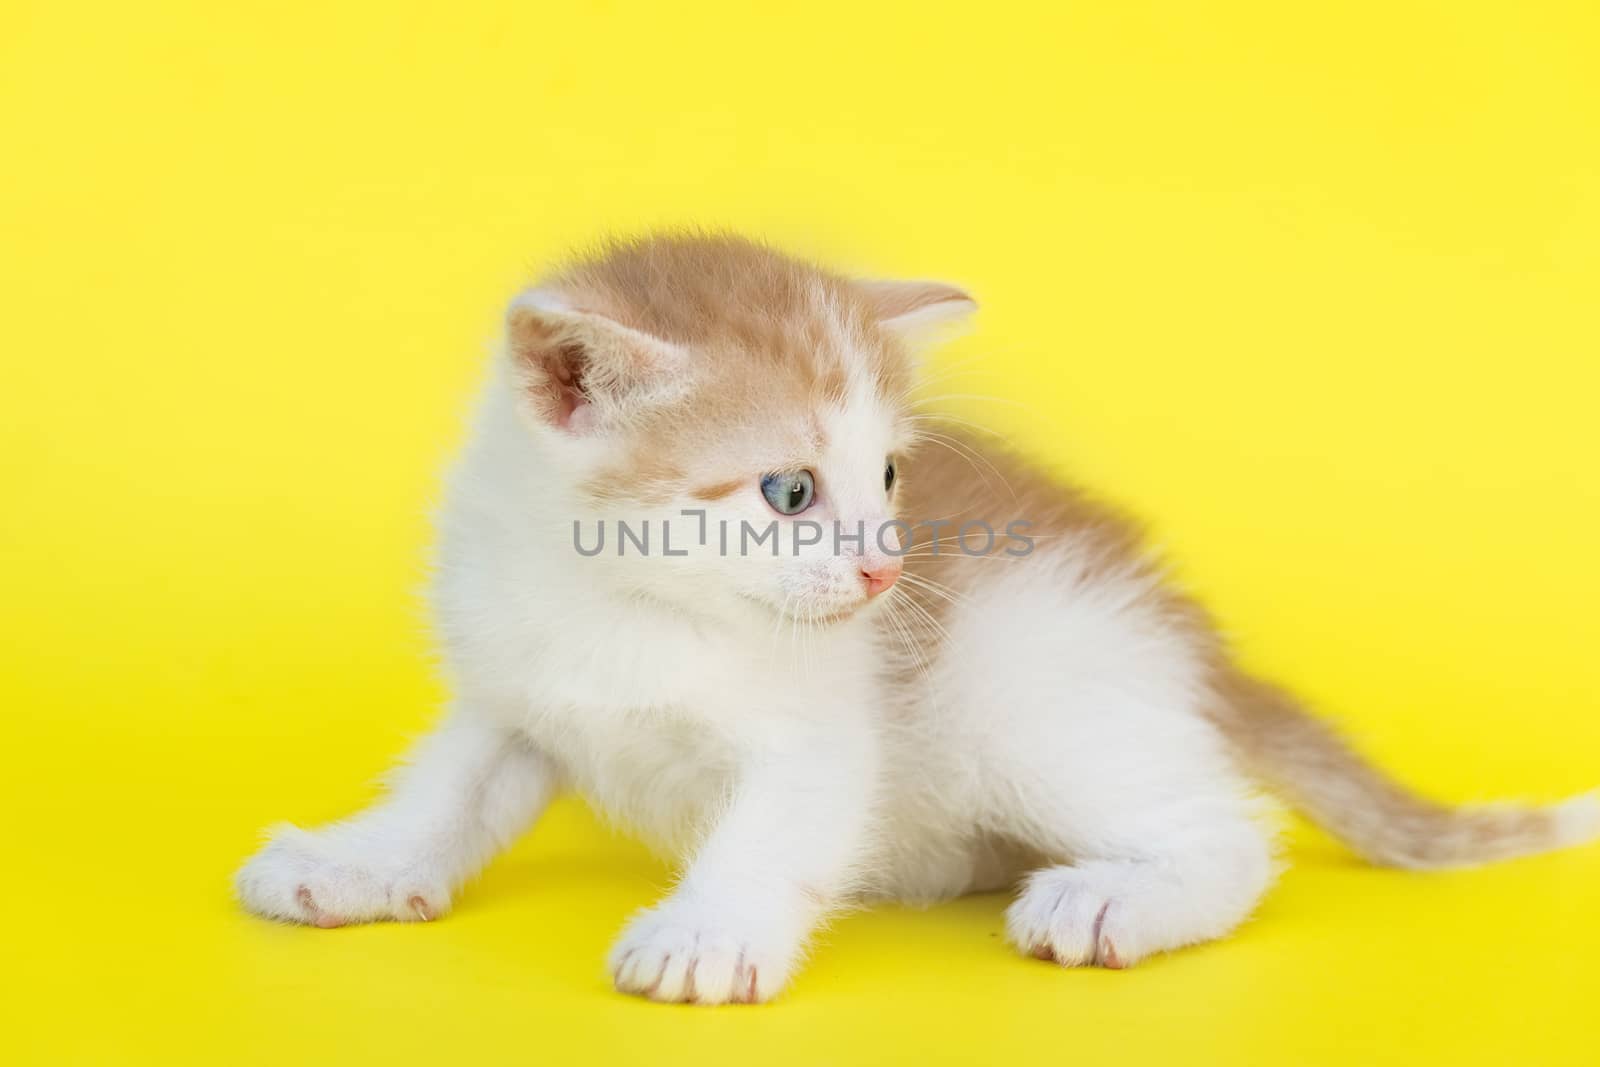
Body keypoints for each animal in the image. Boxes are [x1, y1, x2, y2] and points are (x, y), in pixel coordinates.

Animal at [232, 231, 1593, 1004]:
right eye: (788, 490)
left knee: (1227, 833)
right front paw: (352, 863)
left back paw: (1112, 898)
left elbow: (776, 821)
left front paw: (707, 929)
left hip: (1027, 685)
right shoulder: (517, 687)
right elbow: (447, 788)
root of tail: (1188, 631)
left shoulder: (825, 719)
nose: (888, 577)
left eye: (889, 475)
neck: (631, 600)